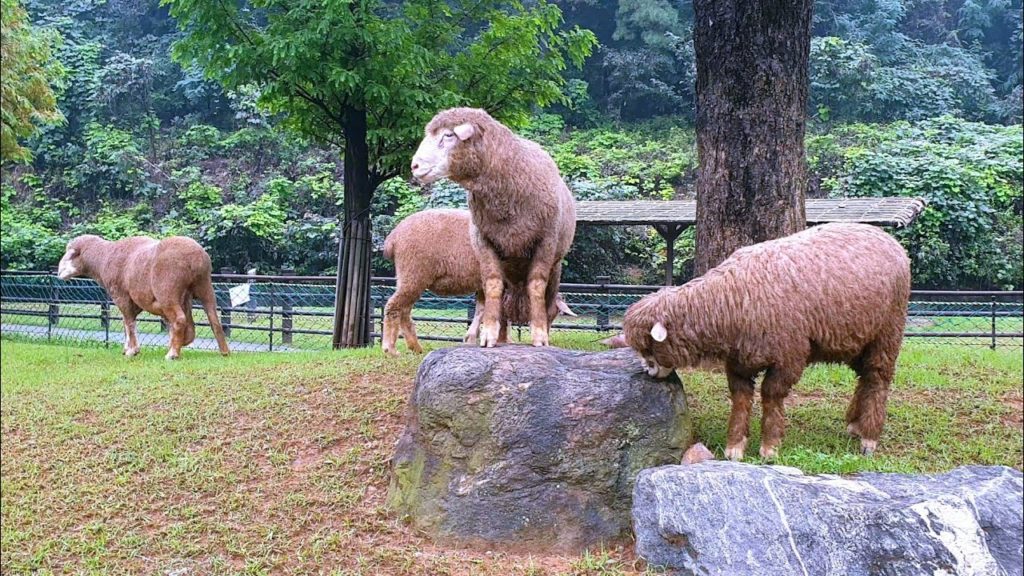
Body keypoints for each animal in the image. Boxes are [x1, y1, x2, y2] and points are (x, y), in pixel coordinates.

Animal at [57, 234, 231, 360]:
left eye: (70, 254)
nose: (58, 273)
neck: (103, 258)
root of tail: (196, 257)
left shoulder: (122, 296)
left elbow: (129, 323)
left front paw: (132, 351)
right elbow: (126, 323)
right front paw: (127, 348)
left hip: (167, 291)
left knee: (180, 319)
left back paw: (172, 354)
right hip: (204, 287)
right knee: (213, 319)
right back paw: (224, 351)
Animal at [381, 208, 575, 356]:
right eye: (551, 314)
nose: (546, 338)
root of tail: (393, 238)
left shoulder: (484, 286)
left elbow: (481, 310)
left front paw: (471, 338)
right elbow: (500, 314)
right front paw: (503, 339)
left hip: (408, 277)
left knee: (404, 311)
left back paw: (416, 348)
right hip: (414, 273)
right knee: (393, 306)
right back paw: (390, 349)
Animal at [410, 108, 576, 348]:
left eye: (448, 135)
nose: (414, 166)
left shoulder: (545, 242)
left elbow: (536, 286)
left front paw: (539, 335)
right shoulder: (484, 241)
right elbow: (492, 285)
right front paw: (488, 334)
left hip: (556, 267)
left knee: (548, 298)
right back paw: (502, 337)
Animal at [622, 223, 910, 460]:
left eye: (648, 346)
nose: (648, 371)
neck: (728, 301)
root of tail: (893, 242)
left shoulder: (789, 357)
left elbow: (771, 395)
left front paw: (769, 447)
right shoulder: (738, 361)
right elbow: (740, 399)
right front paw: (735, 447)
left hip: (888, 332)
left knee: (878, 378)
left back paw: (869, 438)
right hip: (856, 339)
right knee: (864, 377)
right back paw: (854, 424)